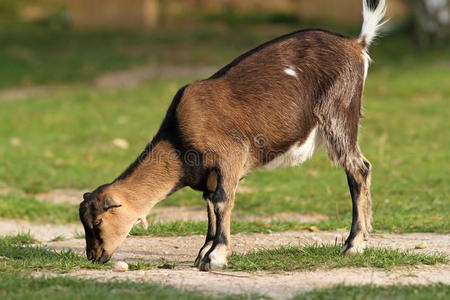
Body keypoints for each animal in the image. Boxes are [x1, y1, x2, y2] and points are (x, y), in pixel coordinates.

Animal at [78, 0, 386, 272]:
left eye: (98, 223)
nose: (95, 256)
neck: (178, 143)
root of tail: (357, 43)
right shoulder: (210, 174)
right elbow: (209, 205)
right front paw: (203, 252)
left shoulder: (230, 157)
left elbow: (221, 201)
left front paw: (216, 257)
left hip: (338, 115)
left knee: (358, 168)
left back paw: (353, 245)